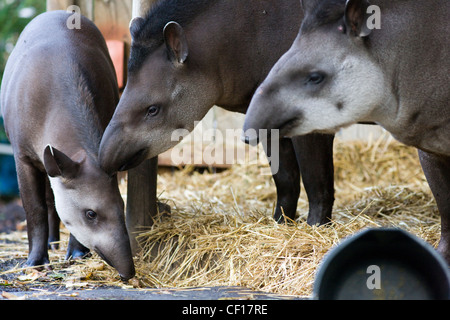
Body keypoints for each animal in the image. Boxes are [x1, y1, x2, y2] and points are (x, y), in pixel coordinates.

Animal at [0, 11, 134, 278]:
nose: (130, 272)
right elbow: (35, 208)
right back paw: (51, 243)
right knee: (48, 200)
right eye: (91, 214)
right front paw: (36, 262)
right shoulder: (22, 155)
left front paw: (78, 253)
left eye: (122, 204)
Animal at [98, 0, 336, 225]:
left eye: (153, 109)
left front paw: (315, 226)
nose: (104, 161)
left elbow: (317, 183)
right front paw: (280, 223)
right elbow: (286, 178)